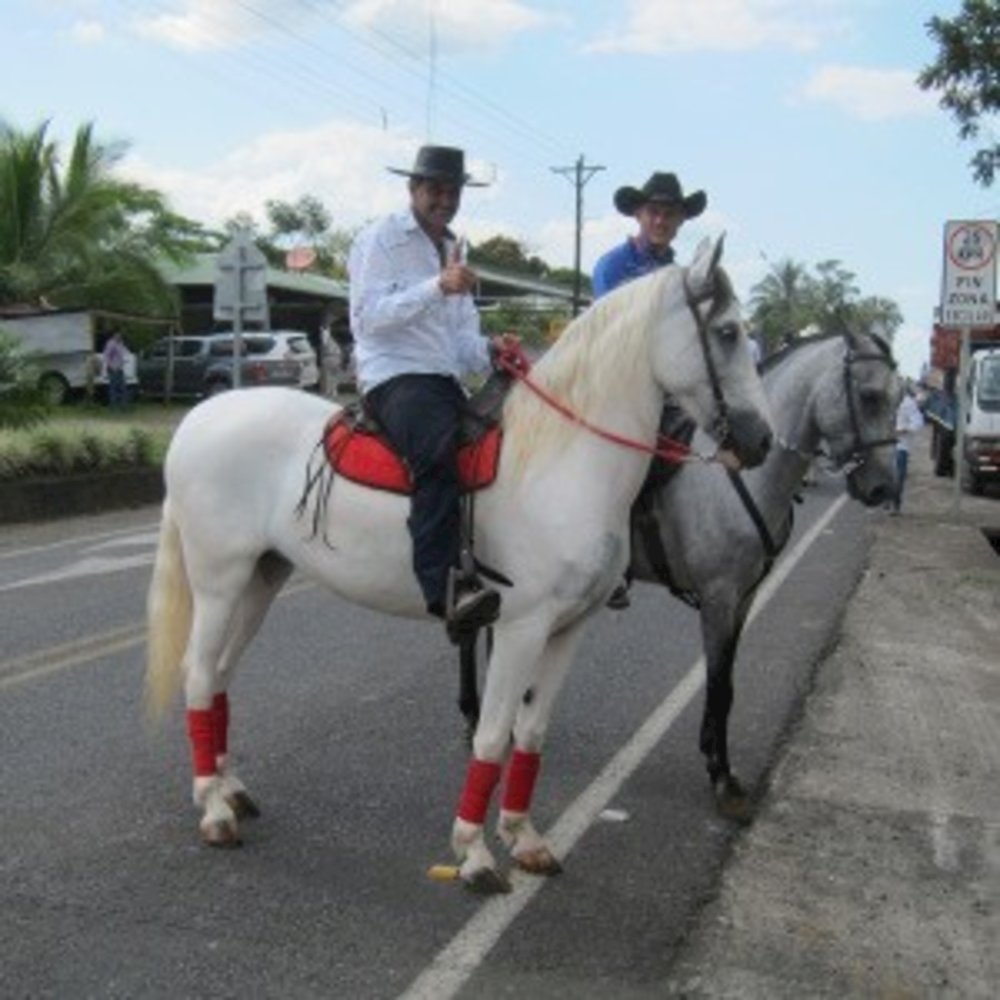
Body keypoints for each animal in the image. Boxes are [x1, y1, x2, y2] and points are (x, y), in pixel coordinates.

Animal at [145, 234, 768, 892]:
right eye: (728, 331)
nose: (760, 441)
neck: (562, 462)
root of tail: (199, 418)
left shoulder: (568, 628)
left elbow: (531, 734)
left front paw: (524, 839)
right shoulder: (520, 627)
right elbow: (493, 737)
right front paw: (473, 852)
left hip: (261, 578)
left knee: (219, 677)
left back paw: (231, 789)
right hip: (218, 582)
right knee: (198, 674)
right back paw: (213, 809)